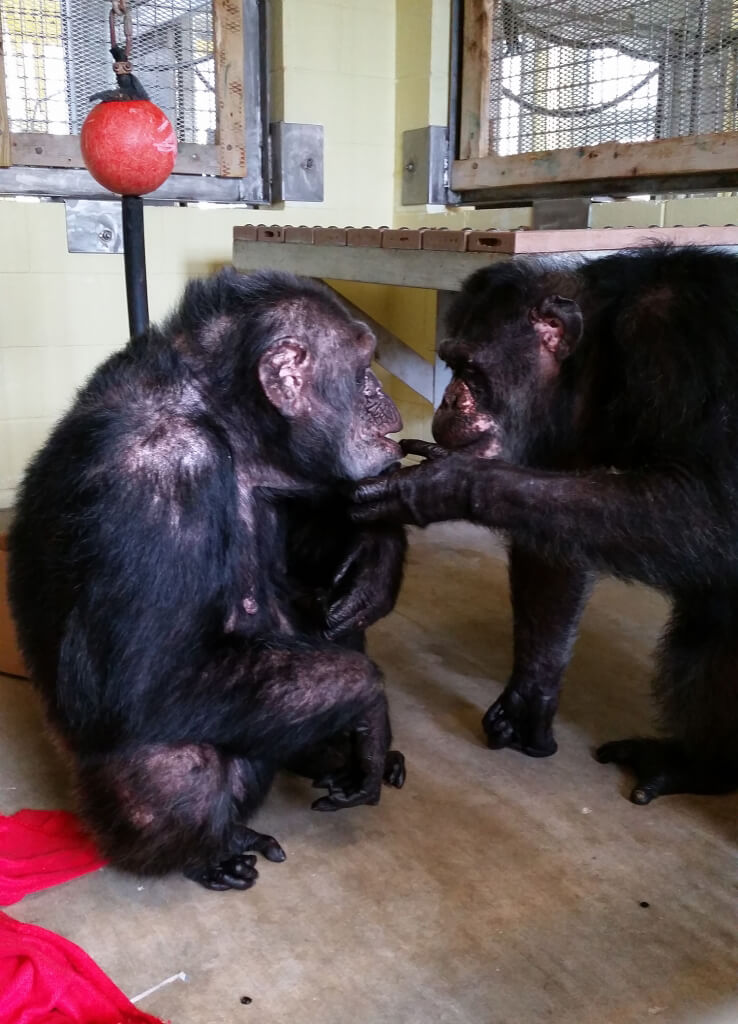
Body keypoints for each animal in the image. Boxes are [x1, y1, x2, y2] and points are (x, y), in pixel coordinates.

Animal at [7, 270, 409, 888]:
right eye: (364, 366)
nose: (383, 397)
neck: (227, 423)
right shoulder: (158, 479)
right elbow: (143, 678)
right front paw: (370, 709)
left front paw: (376, 557)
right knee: (173, 758)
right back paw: (216, 850)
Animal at [350, 243, 736, 802]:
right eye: (450, 363)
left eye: (470, 369)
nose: (448, 398)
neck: (603, 357)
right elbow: (553, 540)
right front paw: (528, 698)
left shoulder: (689, 345)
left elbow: (712, 504)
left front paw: (442, 484)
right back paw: (698, 764)